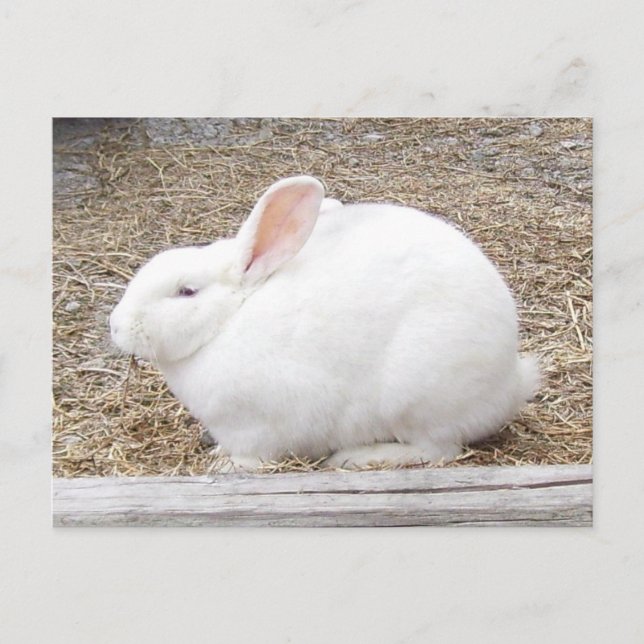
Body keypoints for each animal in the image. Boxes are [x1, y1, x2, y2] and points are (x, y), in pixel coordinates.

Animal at [110, 175, 539, 470]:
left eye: (186, 291)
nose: (116, 325)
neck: (228, 321)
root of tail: (511, 381)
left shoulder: (258, 429)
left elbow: (254, 457)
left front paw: (223, 463)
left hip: (416, 397)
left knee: (438, 450)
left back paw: (357, 458)